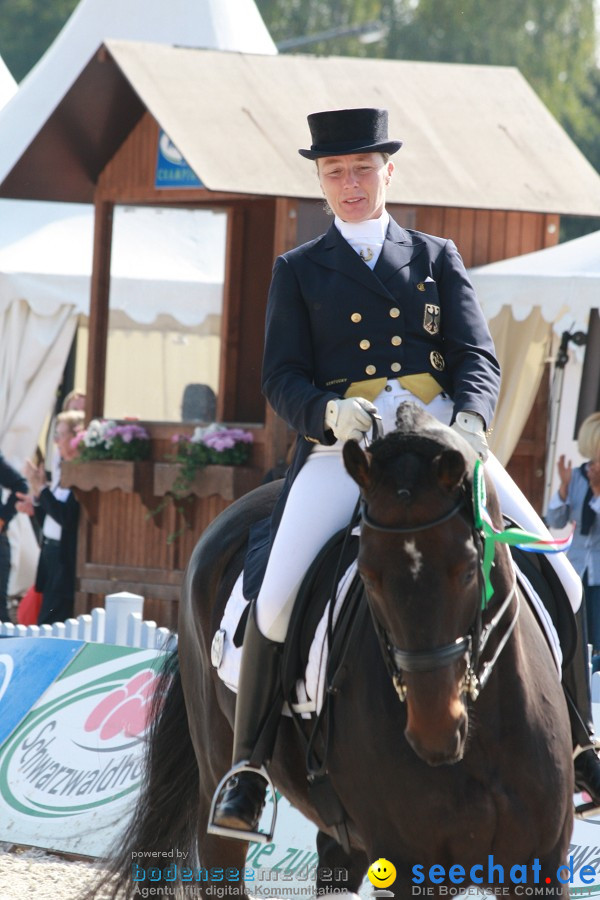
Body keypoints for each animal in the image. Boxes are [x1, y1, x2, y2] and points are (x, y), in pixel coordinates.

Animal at [91, 402, 576, 900]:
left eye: (466, 570)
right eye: (368, 574)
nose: (435, 731)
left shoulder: (541, 861)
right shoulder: (410, 865)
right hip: (215, 778)